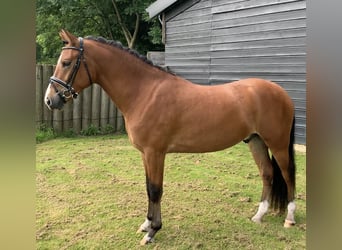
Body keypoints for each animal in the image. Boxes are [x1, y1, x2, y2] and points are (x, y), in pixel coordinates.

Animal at [44, 30, 296, 245]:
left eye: (66, 63)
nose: (49, 100)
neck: (145, 92)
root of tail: (280, 92)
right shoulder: (146, 154)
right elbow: (148, 187)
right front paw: (146, 225)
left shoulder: (155, 152)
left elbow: (156, 189)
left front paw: (153, 231)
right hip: (256, 140)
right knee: (267, 173)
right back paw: (259, 216)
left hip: (278, 144)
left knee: (287, 174)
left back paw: (289, 218)